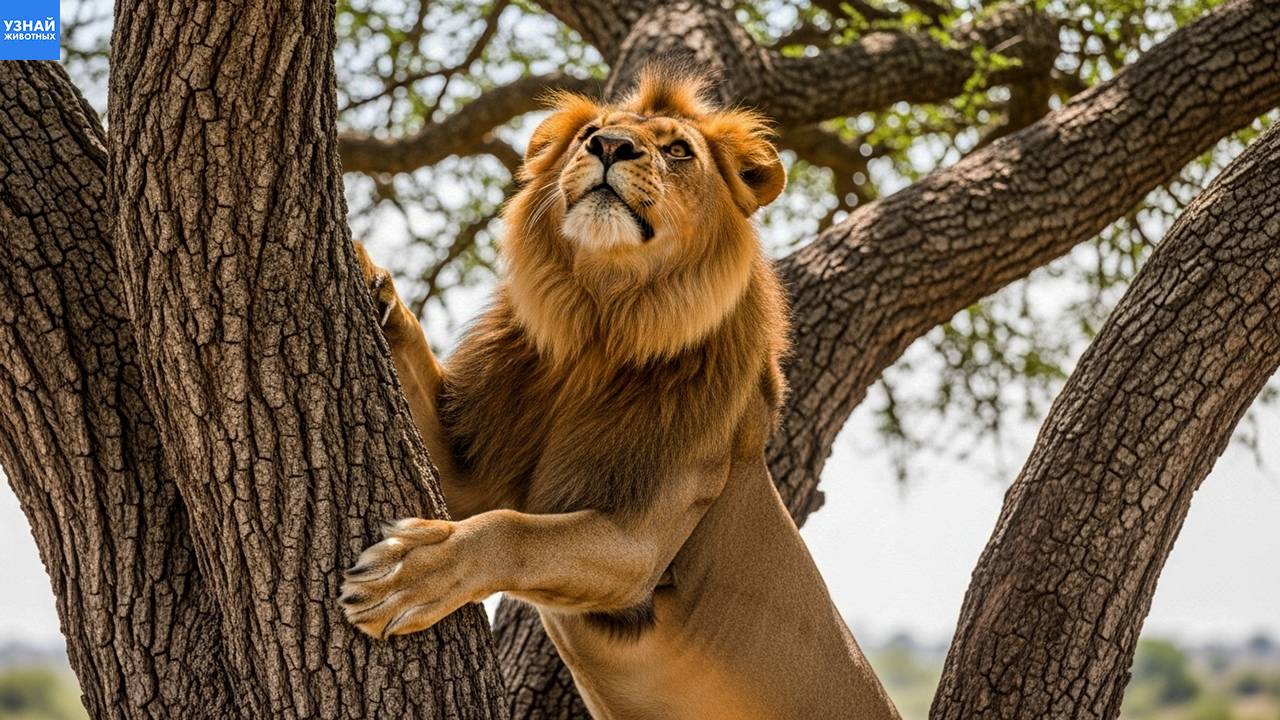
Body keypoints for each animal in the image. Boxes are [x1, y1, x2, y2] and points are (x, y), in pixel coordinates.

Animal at [341, 69, 900, 720]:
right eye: (590, 131)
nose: (609, 146)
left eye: (678, 150)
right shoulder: (466, 473)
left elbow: (514, 532)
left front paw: (406, 574)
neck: (599, 327)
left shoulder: (639, 546)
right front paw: (369, 275)